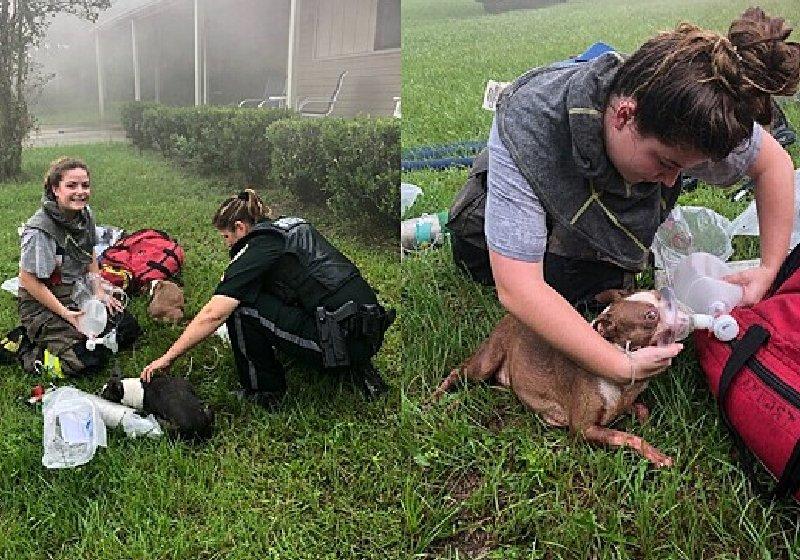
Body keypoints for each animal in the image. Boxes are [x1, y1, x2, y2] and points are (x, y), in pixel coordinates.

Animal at [432, 290, 676, 466]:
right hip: (486, 362)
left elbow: (641, 410)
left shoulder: (623, 404)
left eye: (657, 294)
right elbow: (629, 437)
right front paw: (656, 454)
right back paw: (436, 398)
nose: (670, 299)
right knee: (457, 372)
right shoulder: (583, 429)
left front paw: (648, 426)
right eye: (650, 317)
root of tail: (511, 315)